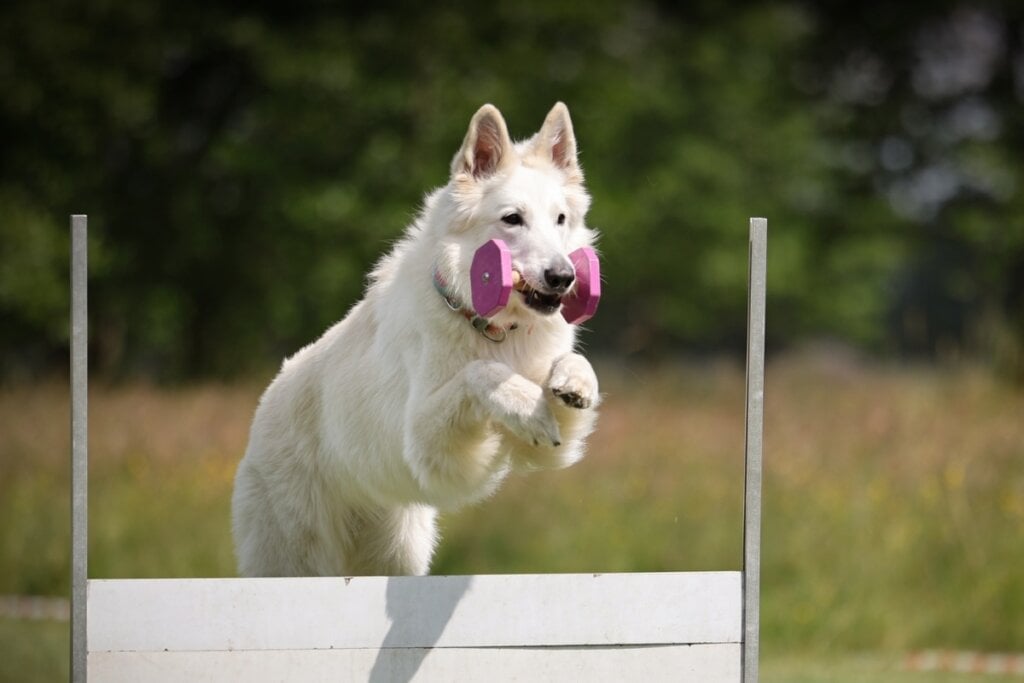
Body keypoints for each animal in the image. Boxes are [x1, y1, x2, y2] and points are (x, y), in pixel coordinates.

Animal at [232, 102, 598, 577]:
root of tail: (263, 408)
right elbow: (479, 374)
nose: (564, 277)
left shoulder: (549, 451)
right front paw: (526, 406)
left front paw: (574, 383)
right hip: (299, 562)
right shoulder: (431, 446)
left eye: (560, 220)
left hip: (398, 553)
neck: (492, 329)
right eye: (512, 219)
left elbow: (571, 369)